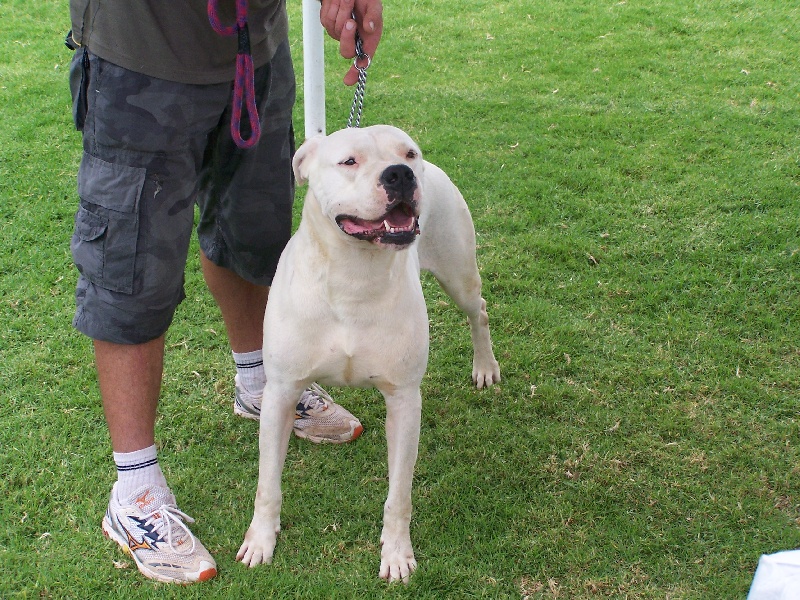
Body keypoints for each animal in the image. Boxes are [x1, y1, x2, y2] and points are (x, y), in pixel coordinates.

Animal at [236, 125, 500, 580]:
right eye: (349, 161)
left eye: (408, 153)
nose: (400, 174)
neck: (353, 276)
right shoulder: (281, 393)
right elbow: (267, 483)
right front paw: (261, 540)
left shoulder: (404, 400)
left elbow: (399, 494)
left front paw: (396, 553)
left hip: (458, 274)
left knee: (478, 311)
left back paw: (485, 366)